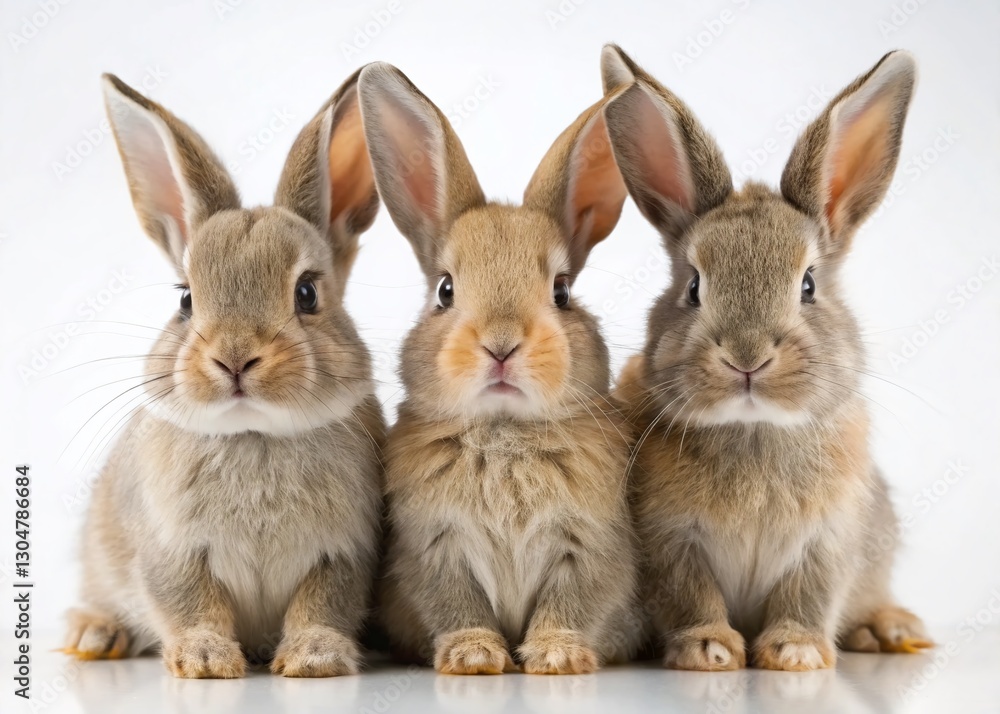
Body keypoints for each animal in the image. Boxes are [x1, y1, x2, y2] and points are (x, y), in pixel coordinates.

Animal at [61, 69, 386, 678]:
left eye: (307, 293)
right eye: (185, 299)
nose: (235, 358)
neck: (253, 433)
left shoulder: (344, 553)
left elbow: (322, 603)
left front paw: (314, 658)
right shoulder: (170, 552)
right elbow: (189, 602)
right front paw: (207, 660)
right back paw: (94, 634)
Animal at [356, 62, 642, 674]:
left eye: (561, 291)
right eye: (445, 290)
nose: (502, 345)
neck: (504, 434)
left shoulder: (589, 546)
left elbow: (571, 602)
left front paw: (556, 656)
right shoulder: (435, 549)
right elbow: (457, 604)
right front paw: (474, 655)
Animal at [600, 44, 931, 671]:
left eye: (808, 285)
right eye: (693, 287)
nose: (746, 357)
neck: (753, 428)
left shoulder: (828, 541)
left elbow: (808, 596)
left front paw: (795, 653)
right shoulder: (672, 541)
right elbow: (691, 595)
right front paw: (709, 649)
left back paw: (890, 629)